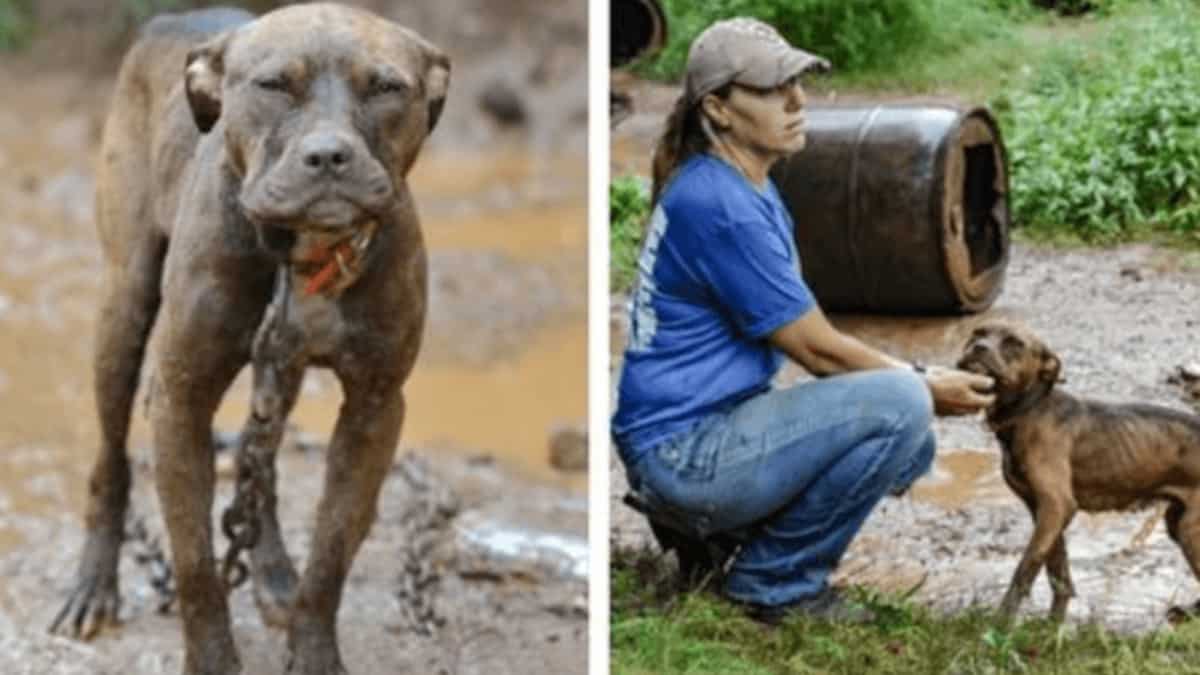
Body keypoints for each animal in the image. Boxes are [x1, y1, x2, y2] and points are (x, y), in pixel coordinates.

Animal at [48, 5, 451, 672]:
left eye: (387, 87)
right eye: (273, 86)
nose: (329, 155)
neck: (300, 253)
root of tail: (177, 17)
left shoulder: (374, 407)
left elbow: (332, 553)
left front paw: (313, 650)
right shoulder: (180, 400)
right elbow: (194, 565)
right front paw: (212, 657)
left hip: (279, 370)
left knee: (259, 466)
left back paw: (273, 573)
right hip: (123, 310)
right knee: (112, 460)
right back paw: (93, 585)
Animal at [960, 319, 1200, 619]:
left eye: (1014, 343)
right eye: (977, 333)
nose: (978, 348)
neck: (1030, 409)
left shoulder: (1057, 505)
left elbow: (1026, 566)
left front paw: (1003, 620)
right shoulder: (1041, 509)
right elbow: (1056, 564)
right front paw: (1057, 612)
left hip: (1191, 530)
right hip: (1177, 522)